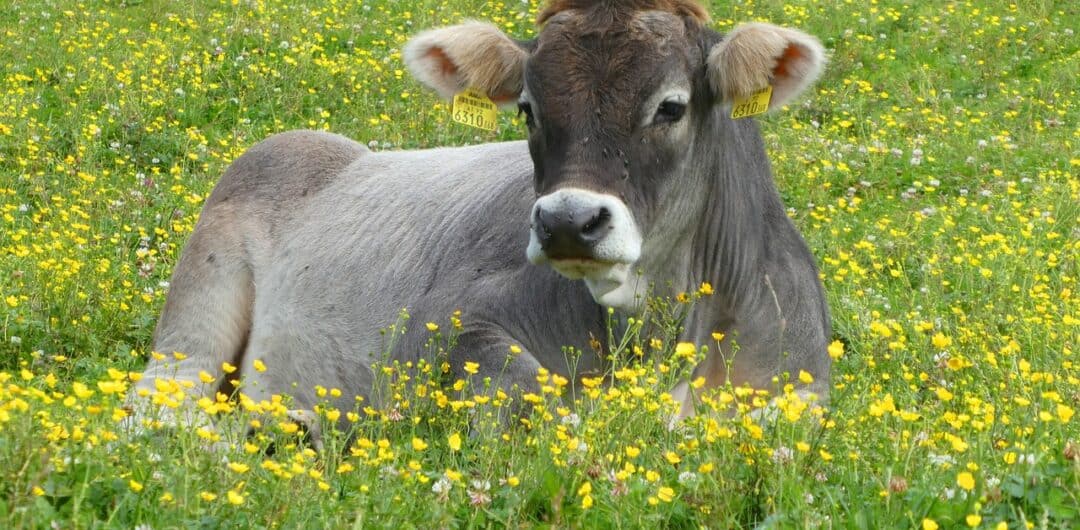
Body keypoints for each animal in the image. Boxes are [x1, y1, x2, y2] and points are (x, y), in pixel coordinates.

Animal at [128, 0, 833, 436]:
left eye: (671, 106)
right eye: (526, 107)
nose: (568, 221)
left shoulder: (804, 383)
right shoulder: (443, 328)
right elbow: (538, 399)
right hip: (195, 319)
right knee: (159, 408)